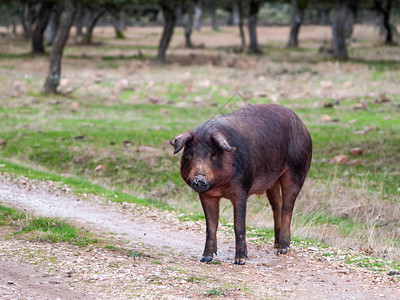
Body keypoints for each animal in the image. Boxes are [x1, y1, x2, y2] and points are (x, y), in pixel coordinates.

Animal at [170, 104, 310, 264]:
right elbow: (210, 225)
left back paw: (282, 250)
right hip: (272, 181)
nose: (199, 179)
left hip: (296, 170)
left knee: (288, 208)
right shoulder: (207, 195)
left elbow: (239, 225)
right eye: (191, 153)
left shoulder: (241, 190)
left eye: (213, 154)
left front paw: (240, 260)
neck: (220, 188)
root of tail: (302, 125)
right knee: (277, 206)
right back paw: (276, 245)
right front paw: (205, 259)